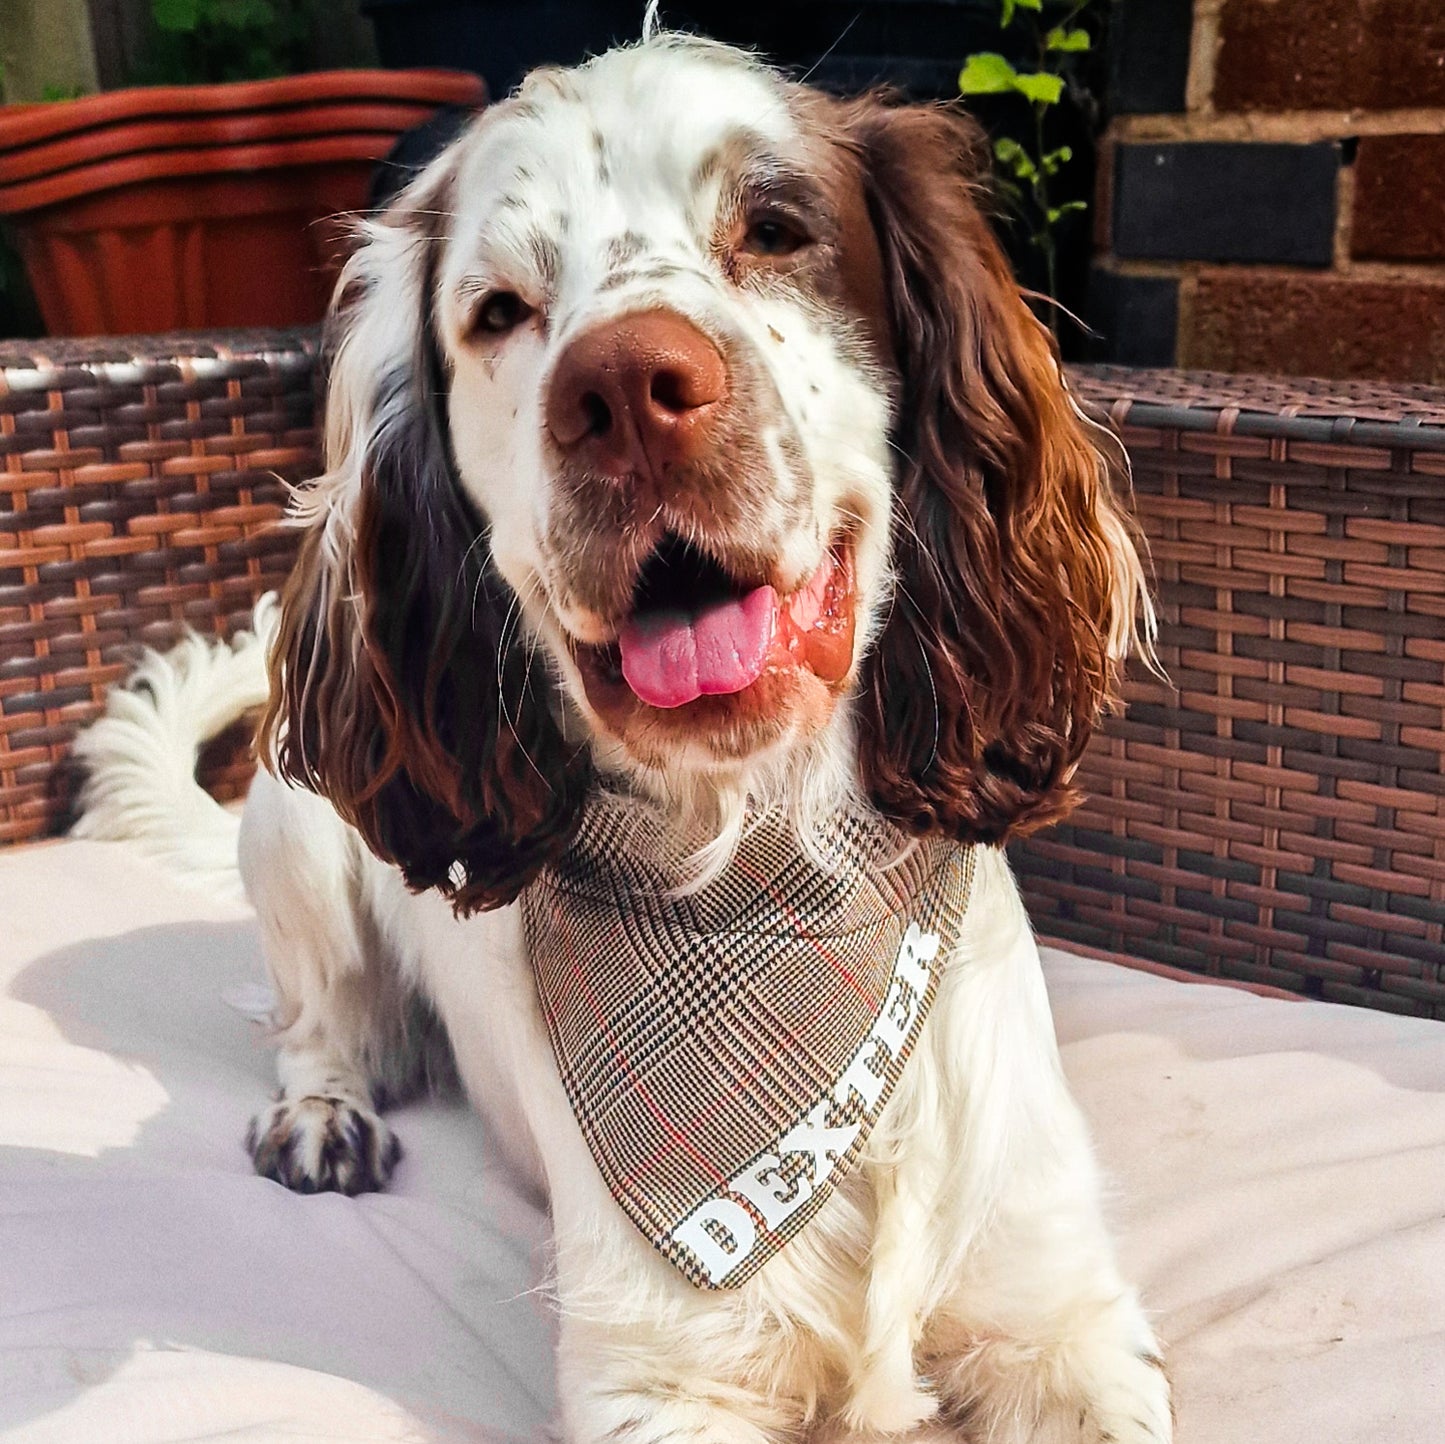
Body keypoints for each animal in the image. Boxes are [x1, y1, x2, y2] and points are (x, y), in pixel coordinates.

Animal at [79, 31, 1167, 1444]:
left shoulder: (1062, 1320)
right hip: (293, 826)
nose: (625, 390)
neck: (769, 879)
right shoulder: (658, 1385)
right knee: (323, 1017)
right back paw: (321, 1110)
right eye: (498, 312)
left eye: (775, 229)